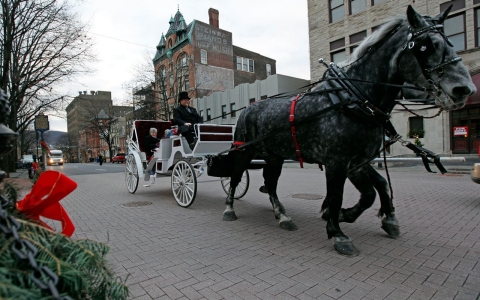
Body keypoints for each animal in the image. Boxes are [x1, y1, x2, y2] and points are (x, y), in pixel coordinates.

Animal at [223, 5, 474, 256]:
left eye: (450, 41)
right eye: (426, 44)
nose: (465, 89)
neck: (354, 101)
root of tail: (247, 109)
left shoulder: (358, 162)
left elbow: (375, 189)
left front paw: (376, 218)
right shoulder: (338, 162)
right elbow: (337, 195)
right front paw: (338, 232)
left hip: (275, 156)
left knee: (271, 183)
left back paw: (283, 216)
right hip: (244, 151)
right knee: (235, 177)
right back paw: (229, 209)